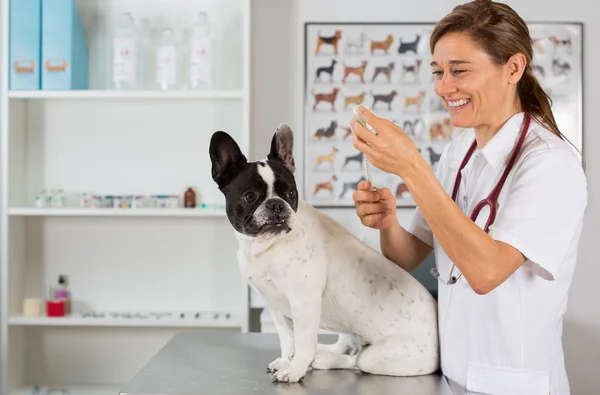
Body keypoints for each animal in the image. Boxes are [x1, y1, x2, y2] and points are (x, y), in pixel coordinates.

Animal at [209, 123, 438, 384]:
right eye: (249, 196)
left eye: (291, 194)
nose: (276, 204)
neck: (267, 245)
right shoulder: (276, 307)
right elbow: (287, 340)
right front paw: (287, 360)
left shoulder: (304, 303)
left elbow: (303, 341)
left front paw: (295, 369)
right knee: (347, 346)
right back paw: (326, 351)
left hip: (380, 358)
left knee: (356, 361)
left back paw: (322, 359)